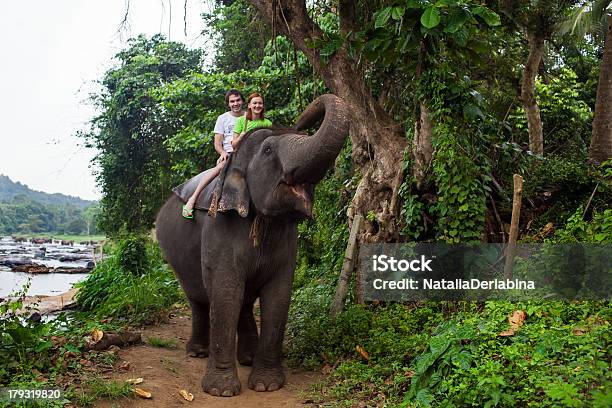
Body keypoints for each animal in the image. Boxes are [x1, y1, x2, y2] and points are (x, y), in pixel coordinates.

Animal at [155, 95, 350, 396]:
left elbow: (278, 296)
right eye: (268, 150)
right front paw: (221, 391)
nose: (303, 119)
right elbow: (225, 293)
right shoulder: (219, 226)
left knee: (244, 300)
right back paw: (197, 352)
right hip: (174, 252)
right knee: (198, 298)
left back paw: (246, 357)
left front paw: (266, 385)